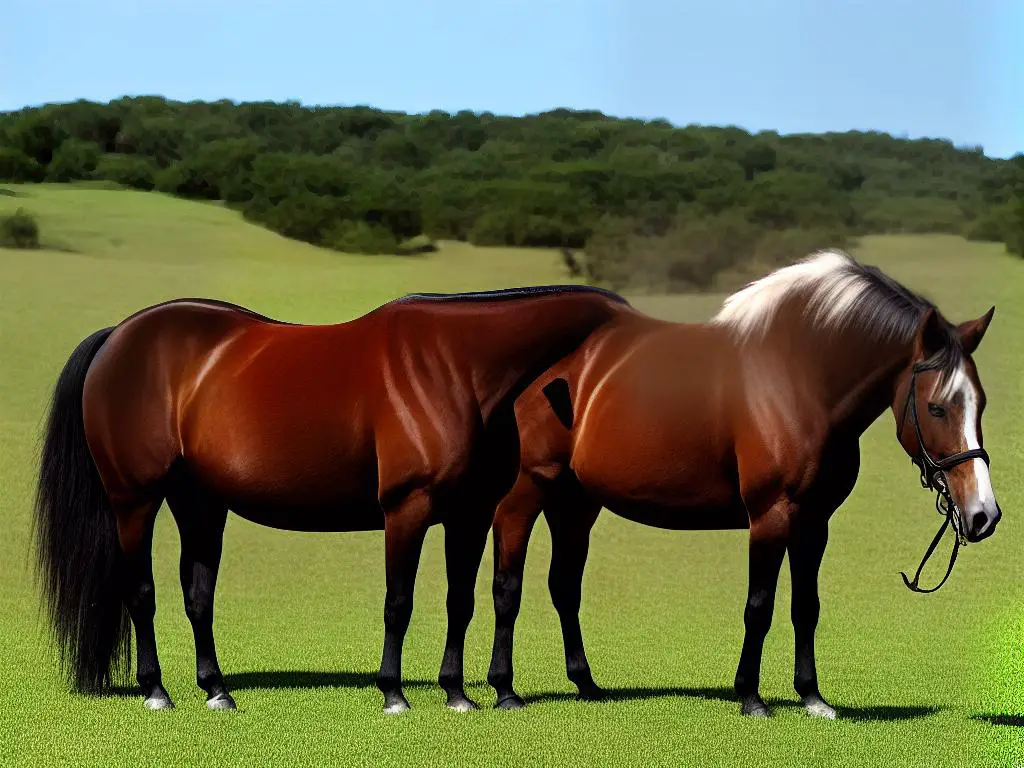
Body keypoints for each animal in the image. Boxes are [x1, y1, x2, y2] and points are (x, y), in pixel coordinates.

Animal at [32, 284, 626, 716]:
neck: (457, 367)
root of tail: (118, 336)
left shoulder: (470, 515)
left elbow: (461, 602)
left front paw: (458, 695)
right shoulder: (407, 509)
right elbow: (399, 602)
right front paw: (394, 695)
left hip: (198, 502)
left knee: (198, 597)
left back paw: (217, 691)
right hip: (133, 501)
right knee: (141, 593)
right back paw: (156, 691)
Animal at [487, 252, 999, 720]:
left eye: (981, 403)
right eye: (936, 407)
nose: (984, 515)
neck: (799, 377)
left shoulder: (814, 522)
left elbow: (805, 607)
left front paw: (813, 698)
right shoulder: (770, 516)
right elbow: (760, 605)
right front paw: (751, 698)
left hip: (575, 502)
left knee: (564, 586)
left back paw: (586, 684)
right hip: (523, 496)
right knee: (507, 587)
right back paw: (505, 689)